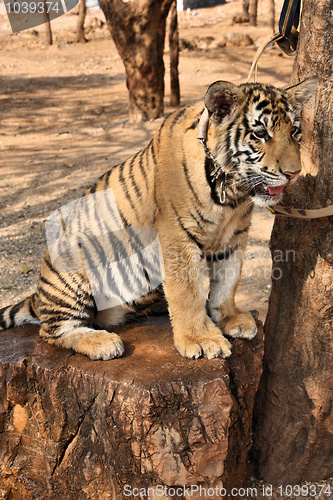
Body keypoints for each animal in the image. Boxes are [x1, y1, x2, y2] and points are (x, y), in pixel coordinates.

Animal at [0, 77, 316, 360]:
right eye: (261, 134)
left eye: (294, 132)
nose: (294, 173)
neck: (231, 192)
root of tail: (38, 295)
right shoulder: (176, 237)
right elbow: (186, 292)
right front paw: (201, 339)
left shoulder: (233, 237)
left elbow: (227, 282)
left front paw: (230, 317)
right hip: (73, 264)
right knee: (52, 330)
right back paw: (102, 343)